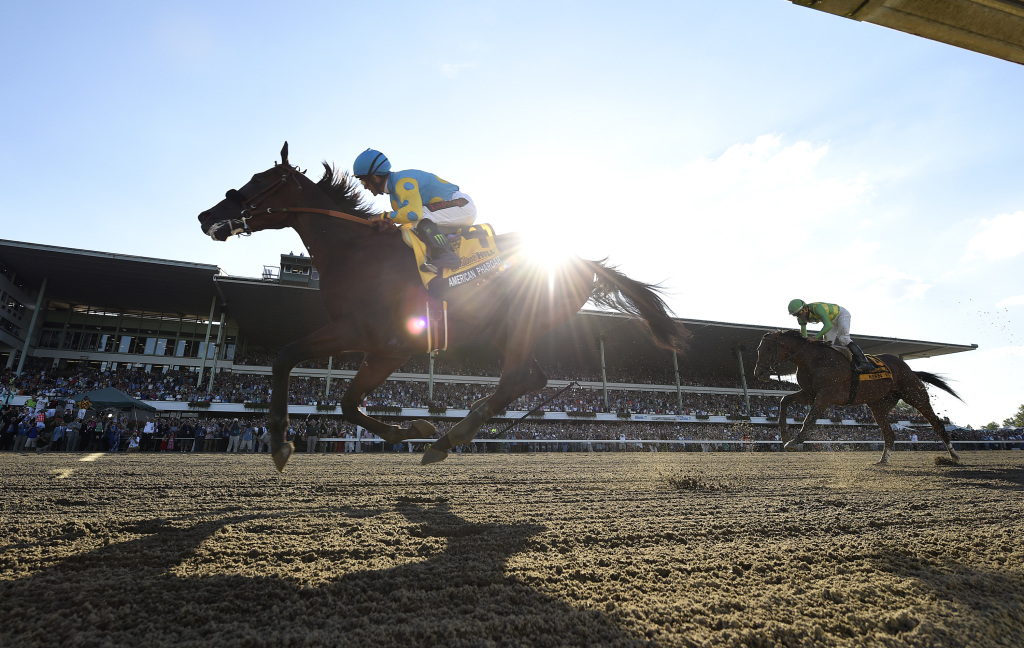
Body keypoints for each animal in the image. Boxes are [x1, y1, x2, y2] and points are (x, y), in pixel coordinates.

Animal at [195, 144, 688, 470]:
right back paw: (459, 428)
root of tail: (580, 261)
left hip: (520, 320)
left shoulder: (382, 342)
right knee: (531, 377)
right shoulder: (372, 344)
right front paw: (410, 430)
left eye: (260, 181)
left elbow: (291, 362)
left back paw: (453, 436)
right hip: (507, 327)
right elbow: (345, 403)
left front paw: (280, 442)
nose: (205, 216)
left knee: (515, 379)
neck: (357, 253)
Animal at [753, 327, 958, 464]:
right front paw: (784, 434)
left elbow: (809, 418)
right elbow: (784, 400)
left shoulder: (826, 395)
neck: (814, 360)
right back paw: (883, 460)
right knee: (890, 434)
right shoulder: (809, 393)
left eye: (768, 349)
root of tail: (909, 369)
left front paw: (794, 441)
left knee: (938, 425)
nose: (758, 373)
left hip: (915, 395)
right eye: (758, 350)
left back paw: (954, 456)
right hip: (878, 406)